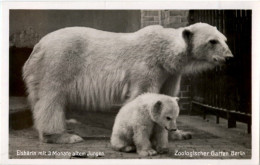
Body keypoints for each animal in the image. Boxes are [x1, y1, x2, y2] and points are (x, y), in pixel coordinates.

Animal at [22, 22, 234, 143]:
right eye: (212, 41)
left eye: (225, 39)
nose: (229, 57)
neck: (164, 52)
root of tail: (37, 47)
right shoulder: (148, 66)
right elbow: (142, 95)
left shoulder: (170, 73)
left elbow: (167, 97)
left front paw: (180, 134)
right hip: (58, 63)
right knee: (51, 98)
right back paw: (63, 136)